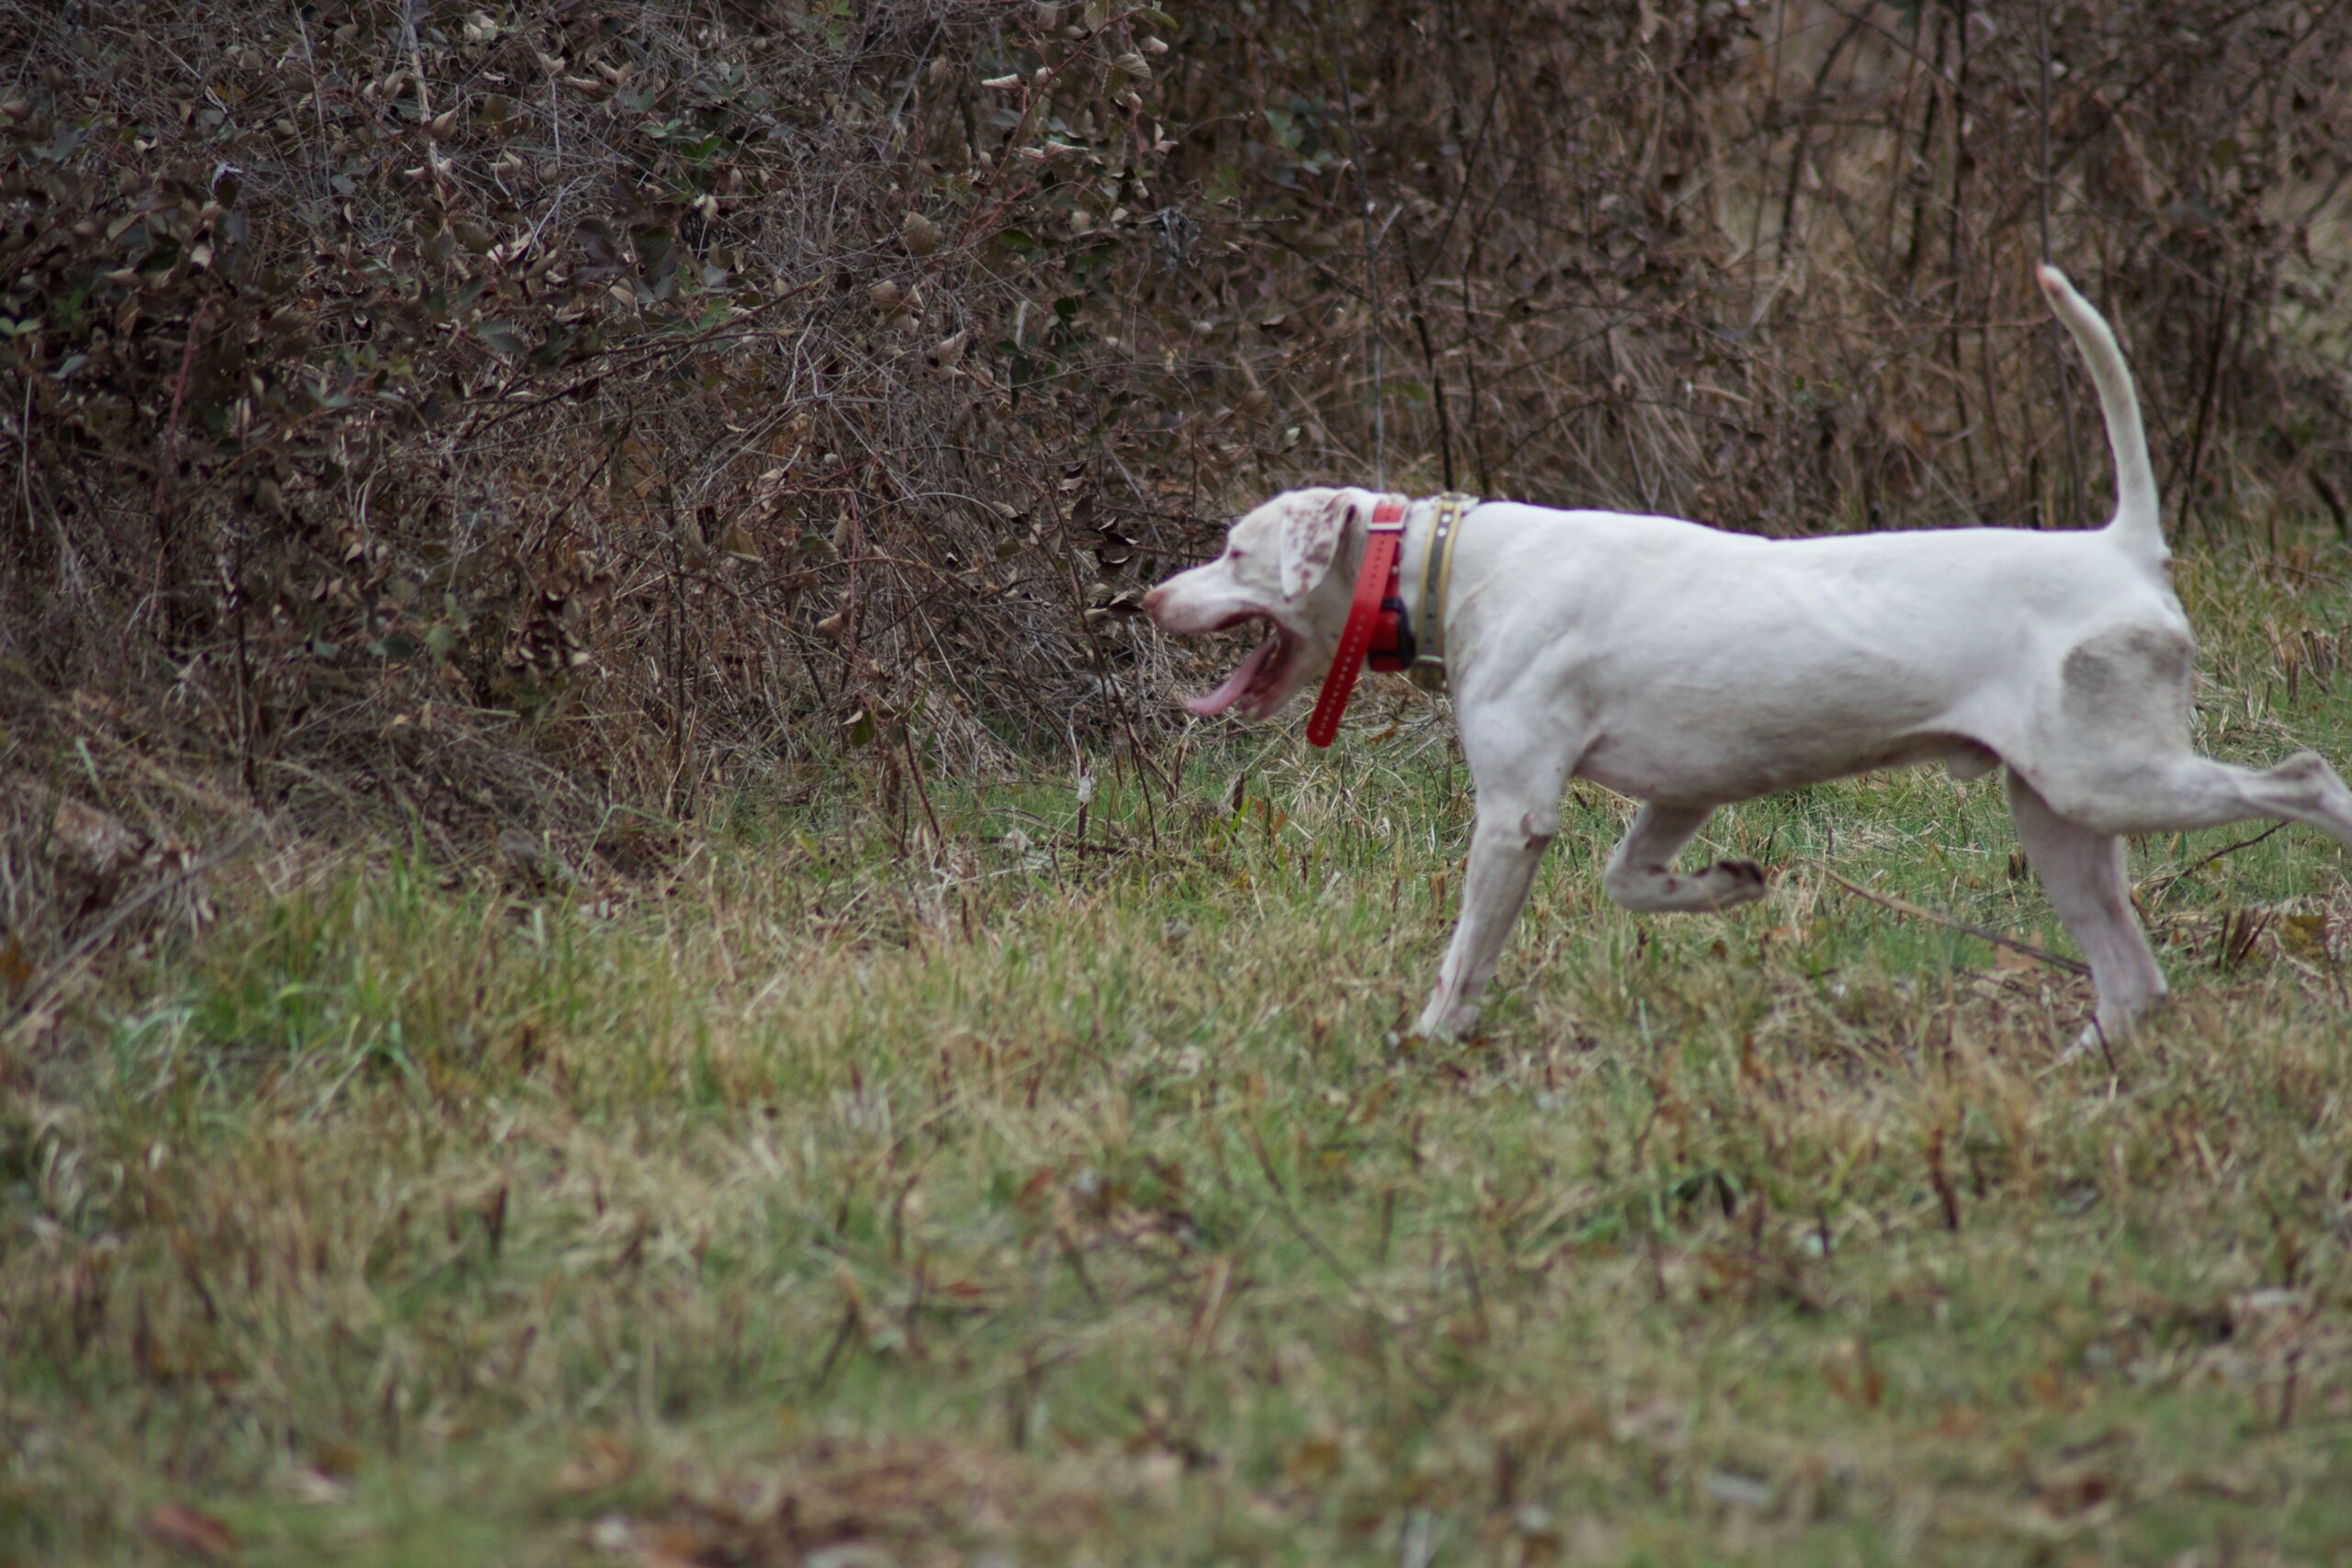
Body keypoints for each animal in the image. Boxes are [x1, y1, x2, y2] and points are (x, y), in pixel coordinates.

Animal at [1143, 266, 2352, 1053]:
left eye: (1235, 550)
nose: (1145, 596)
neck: (1456, 566)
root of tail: (2122, 547)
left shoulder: (1514, 814)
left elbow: (1466, 956)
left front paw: (1433, 1040)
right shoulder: (1678, 794)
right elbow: (1631, 882)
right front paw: (1726, 887)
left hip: (2114, 783)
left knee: (2306, 781)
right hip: (2058, 818)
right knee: (2132, 985)